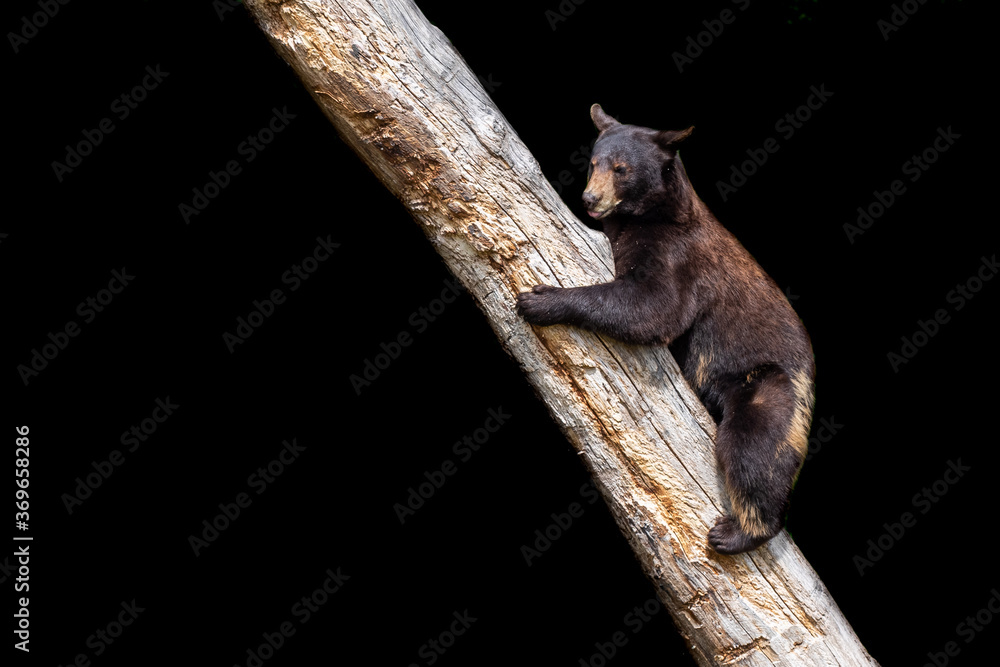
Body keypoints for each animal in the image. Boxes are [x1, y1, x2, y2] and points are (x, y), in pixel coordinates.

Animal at [520, 104, 816, 552]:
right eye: (593, 162)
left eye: (622, 169)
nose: (590, 198)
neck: (652, 216)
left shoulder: (679, 255)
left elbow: (655, 307)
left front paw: (539, 299)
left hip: (769, 384)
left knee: (752, 448)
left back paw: (736, 532)